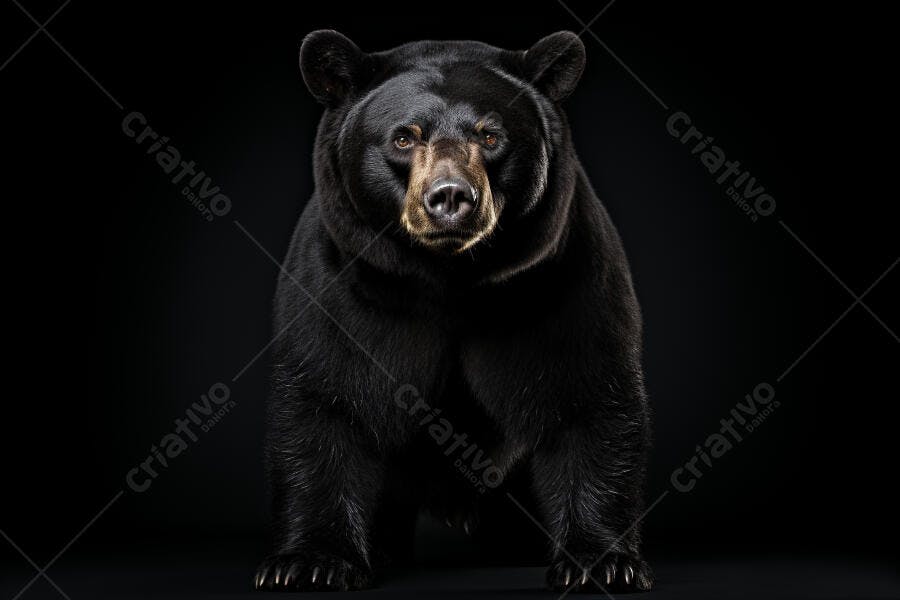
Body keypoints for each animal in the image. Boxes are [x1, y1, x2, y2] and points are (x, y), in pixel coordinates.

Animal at [254, 30, 653, 593]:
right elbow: (328, 398)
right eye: (403, 138)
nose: (449, 197)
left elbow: (588, 397)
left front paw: (601, 562)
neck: (450, 283)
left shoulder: (565, 280)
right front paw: (310, 562)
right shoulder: (341, 288)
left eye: (490, 136)